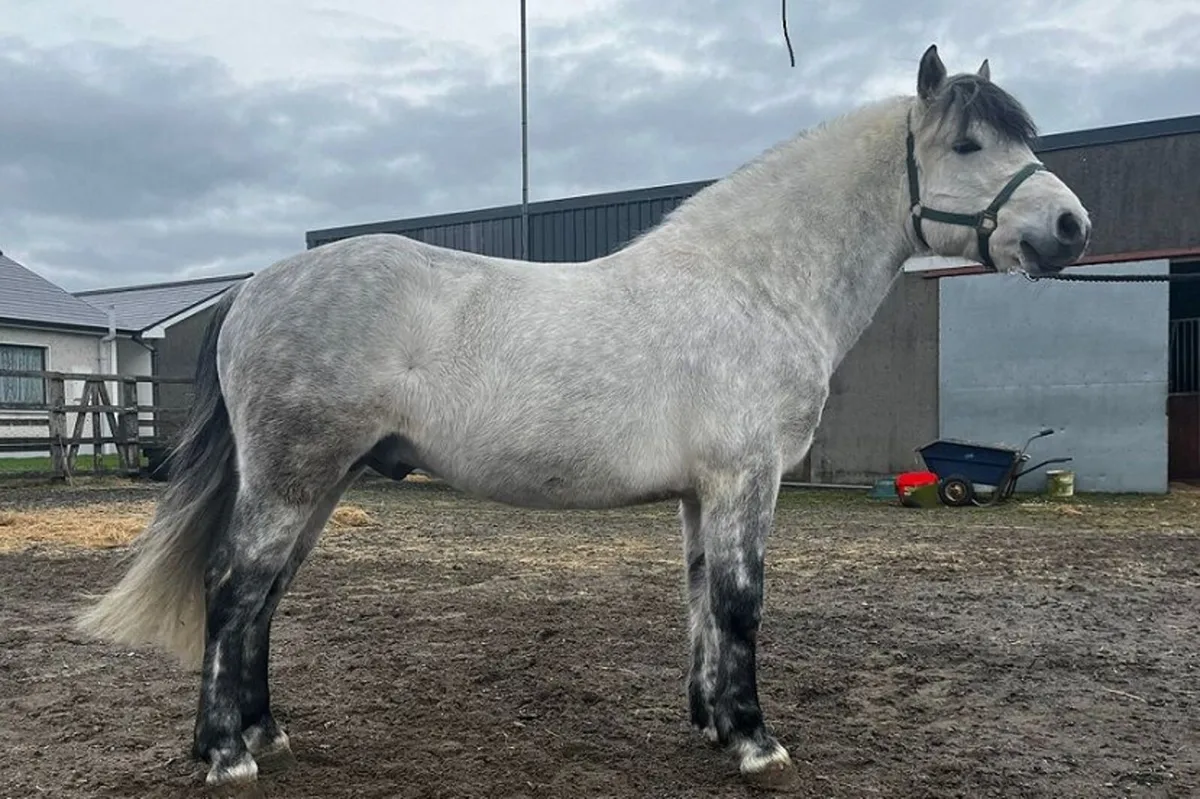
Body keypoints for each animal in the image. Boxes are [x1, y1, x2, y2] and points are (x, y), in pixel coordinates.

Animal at [76, 44, 1091, 796]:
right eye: (970, 145)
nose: (1072, 228)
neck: (756, 286)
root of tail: (255, 288)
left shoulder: (703, 493)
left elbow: (700, 601)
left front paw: (711, 723)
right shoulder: (746, 479)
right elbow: (741, 602)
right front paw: (758, 742)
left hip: (319, 483)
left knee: (264, 596)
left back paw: (265, 732)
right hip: (293, 475)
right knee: (235, 588)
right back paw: (226, 754)